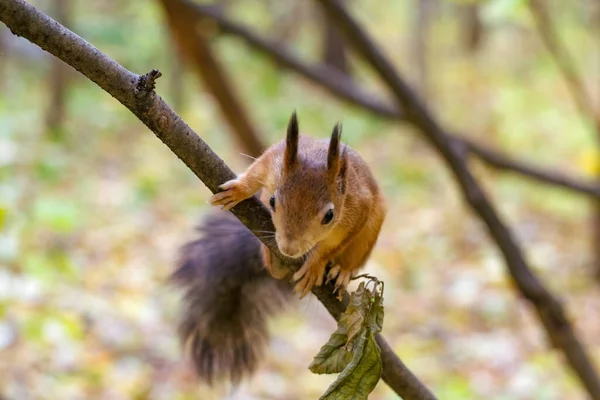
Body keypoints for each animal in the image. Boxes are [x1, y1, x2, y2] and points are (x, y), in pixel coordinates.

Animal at [171, 111, 386, 386]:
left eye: (329, 215)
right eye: (273, 200)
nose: (289, 248)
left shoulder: (358, 211)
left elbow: (331, 245)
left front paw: (315, 265)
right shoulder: (274, 160)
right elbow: (256, 172)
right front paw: (239, 189)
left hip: (370, 233)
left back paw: (341, 271)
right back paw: (272, 260)